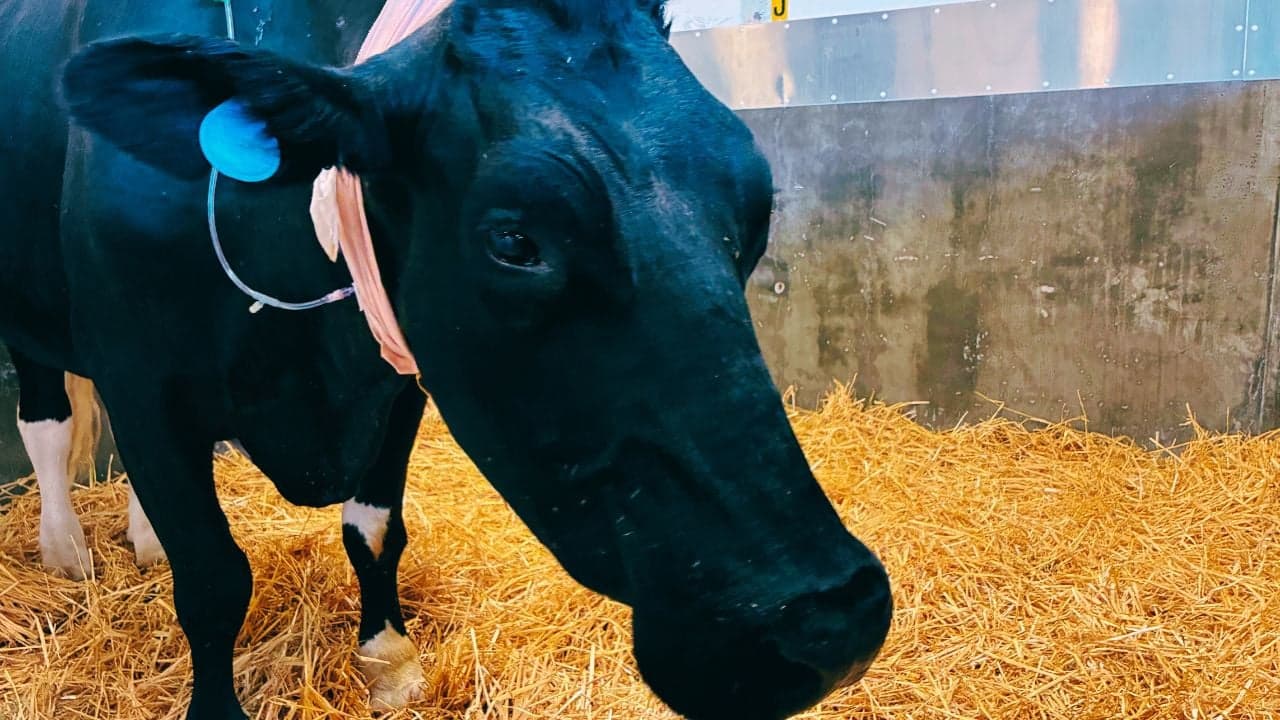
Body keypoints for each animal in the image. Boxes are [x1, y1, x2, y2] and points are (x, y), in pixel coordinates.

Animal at [0, 1, 893, 719]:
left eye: (757, 204)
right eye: (514, 239)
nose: (833, 619)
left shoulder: (397, 380)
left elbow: (374, 530)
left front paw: (388, 662)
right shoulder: (146, 385)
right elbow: (215, 577)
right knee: (47, 421)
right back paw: (65, 548)